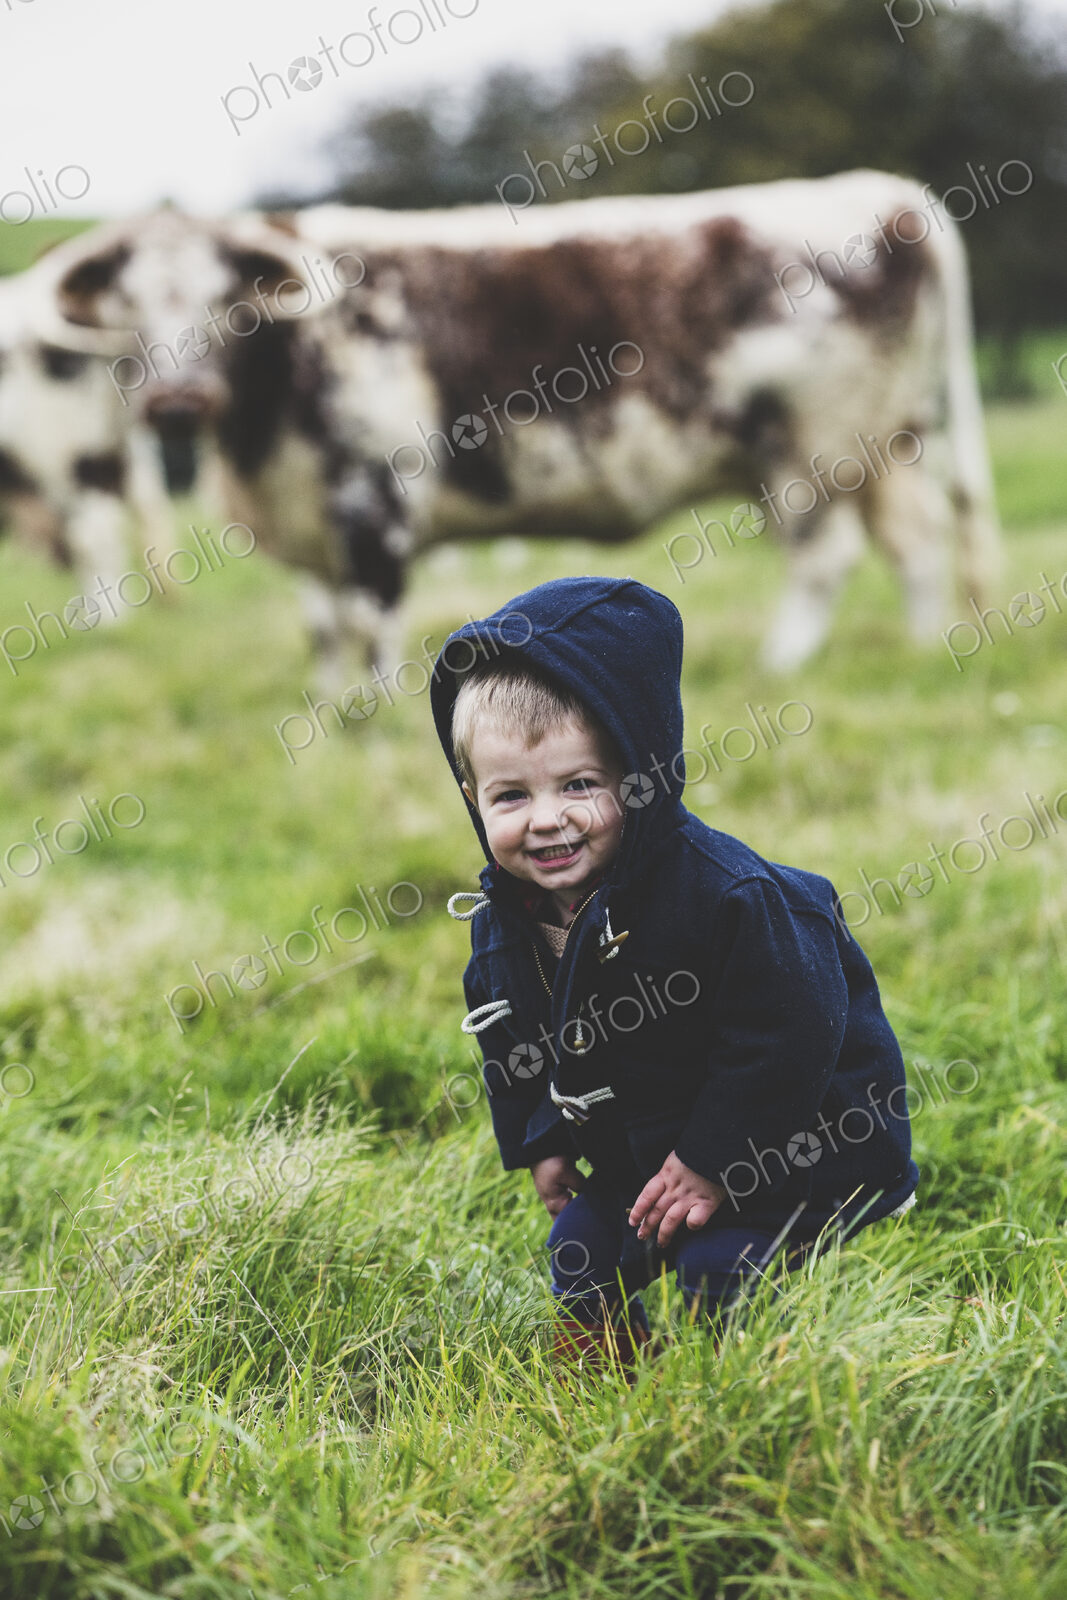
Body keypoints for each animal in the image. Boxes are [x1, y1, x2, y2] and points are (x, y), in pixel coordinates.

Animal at [32, 169, 1000, 679]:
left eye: (227, 302)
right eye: (126, 309)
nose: (176, 400)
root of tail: (880, 194)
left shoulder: (374, 498)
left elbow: (373, 623)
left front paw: (373, 721)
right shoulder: (309, 517)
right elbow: (326, 627)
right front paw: (330, 714)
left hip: (813, 449)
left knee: (826, 556)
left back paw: (780, 665)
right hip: (886, 443)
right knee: (913, 541)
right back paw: (924, 649)